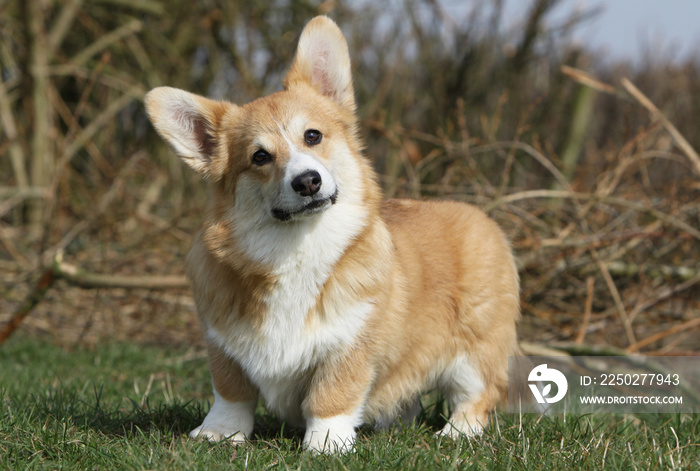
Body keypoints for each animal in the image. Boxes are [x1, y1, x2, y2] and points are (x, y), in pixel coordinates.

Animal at [145, 16, 520, 456]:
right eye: (260, 157)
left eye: (313, 136)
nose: (307, 181)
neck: (295, 247)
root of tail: (479, 214)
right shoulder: (223, 342)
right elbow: (230, 392)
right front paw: (219, 434)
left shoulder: (350, 343)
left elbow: (331, 395)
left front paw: (326, 444)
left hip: (474, 350)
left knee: (477, 394)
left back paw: (457, 432)